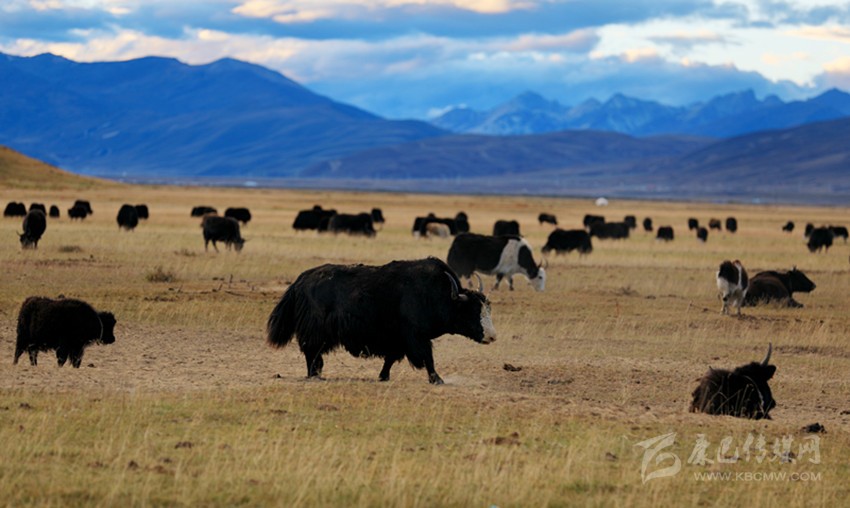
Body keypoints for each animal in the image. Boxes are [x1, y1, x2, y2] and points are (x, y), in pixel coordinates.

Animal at [266, 257, 496, 384]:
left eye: (487, 307)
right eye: (471, 310)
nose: (492, 336)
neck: (440, 294)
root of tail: (299, 281)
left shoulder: (398, 339)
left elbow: (391, 358)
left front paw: (383, 376)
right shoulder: (416, 336)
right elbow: (428, 358)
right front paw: (437, 379)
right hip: (316, 331)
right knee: (311, 352)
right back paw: (314, 375)